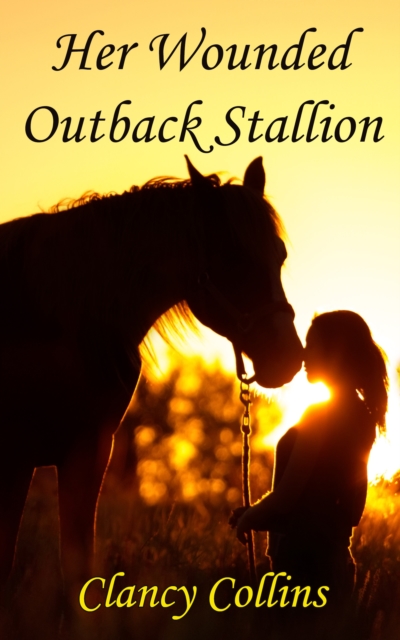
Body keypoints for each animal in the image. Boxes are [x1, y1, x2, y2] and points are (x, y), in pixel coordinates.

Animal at [0, 156, 303, 589]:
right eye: (232, 258)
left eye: (279, 256)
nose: (289, 357)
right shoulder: (18, 454)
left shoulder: (87, 452)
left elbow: (77, 566)